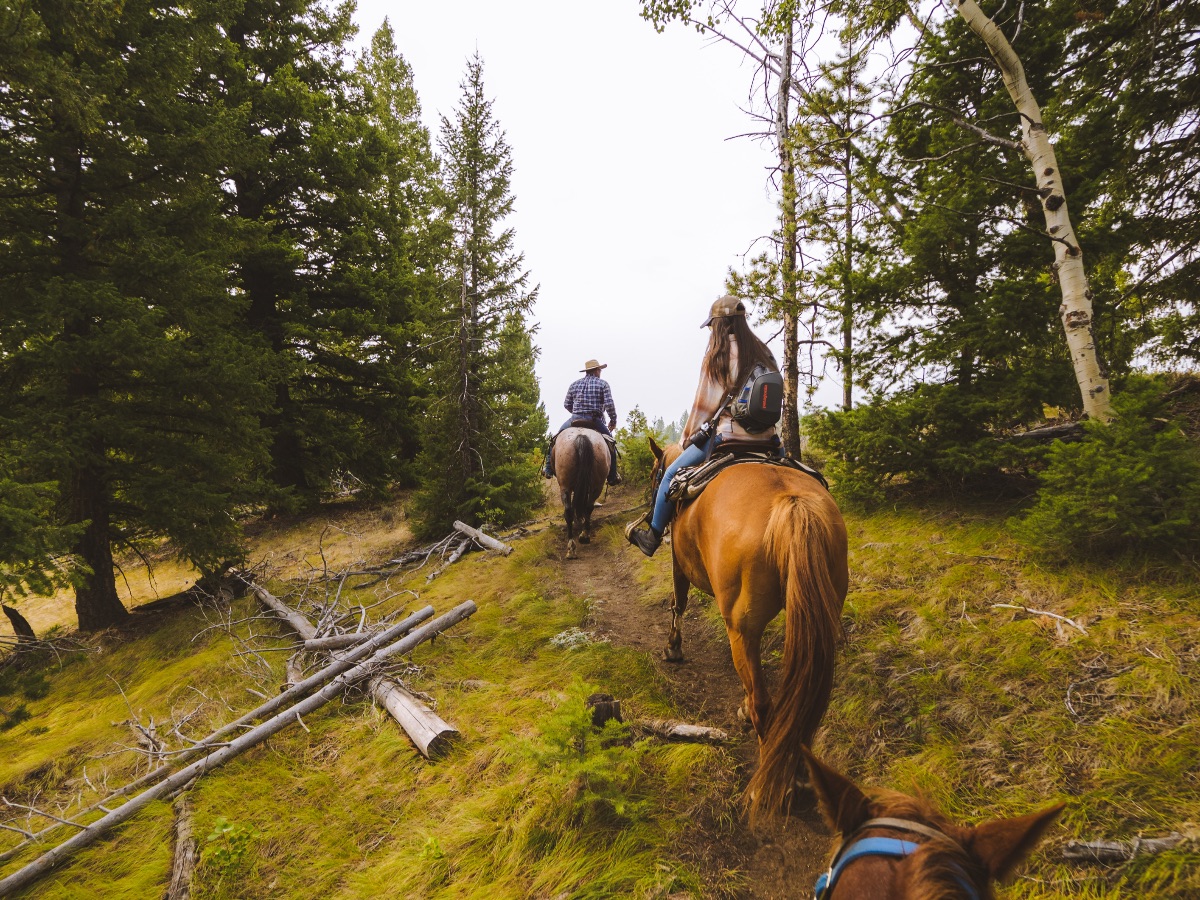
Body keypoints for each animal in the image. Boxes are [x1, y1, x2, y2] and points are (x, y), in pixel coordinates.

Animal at [552, 427, 609, 561]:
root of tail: (581, 436)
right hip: (596, 485)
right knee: (587, 507)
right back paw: (583, 537)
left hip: (566, 486)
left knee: (570, 511)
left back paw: (573, 546)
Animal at [643, 439, 849, 825]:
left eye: (654, 472)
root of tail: (791, 504)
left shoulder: (678, 561)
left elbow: (678, 602)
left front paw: (673, 648)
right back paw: (797, 773)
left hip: (743, 626)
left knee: (763, 702)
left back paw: (768, 785)